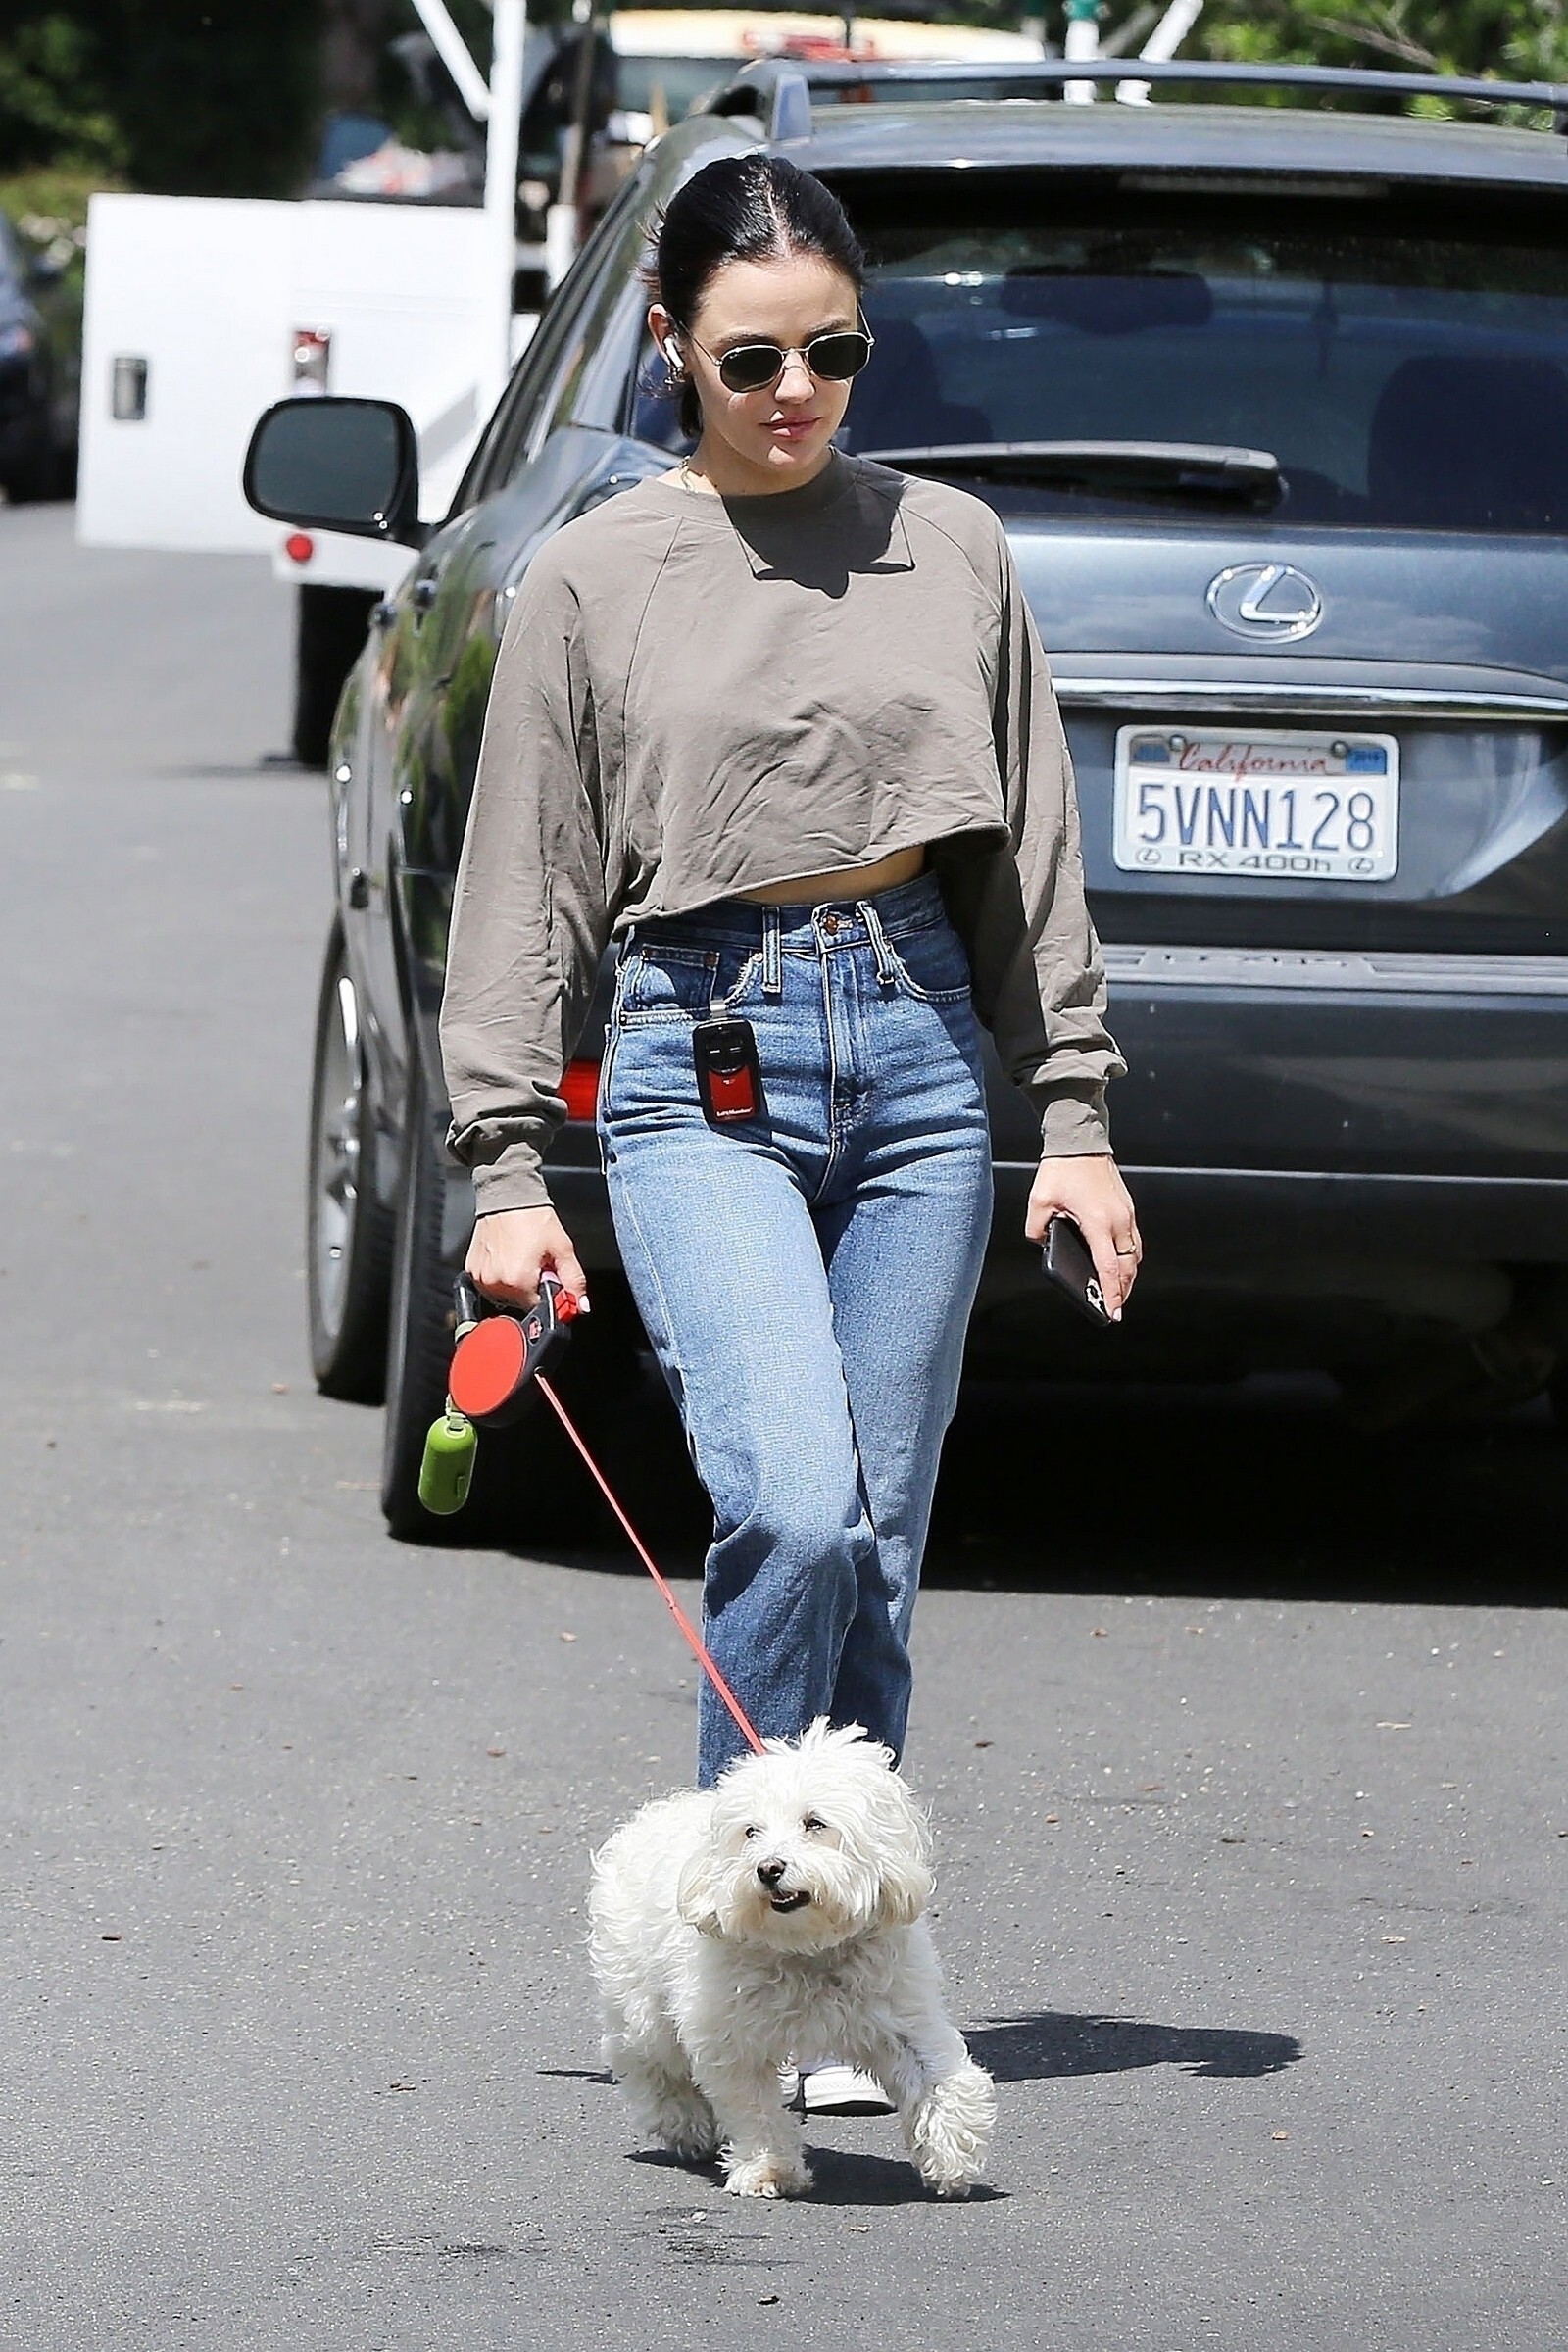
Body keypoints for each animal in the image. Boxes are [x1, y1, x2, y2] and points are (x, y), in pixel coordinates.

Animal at [588, 1719, 997, 2199]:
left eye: (814, 1823)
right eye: (751, 1832)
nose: (768, 1868)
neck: (806, 1950)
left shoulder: (902, 2016)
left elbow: (936, 2077)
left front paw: (951, 2151)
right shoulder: (732, 2040)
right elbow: (754, 2109)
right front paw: (769, 2168)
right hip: (642, 2005)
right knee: (646, 2062)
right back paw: (685, 2124)